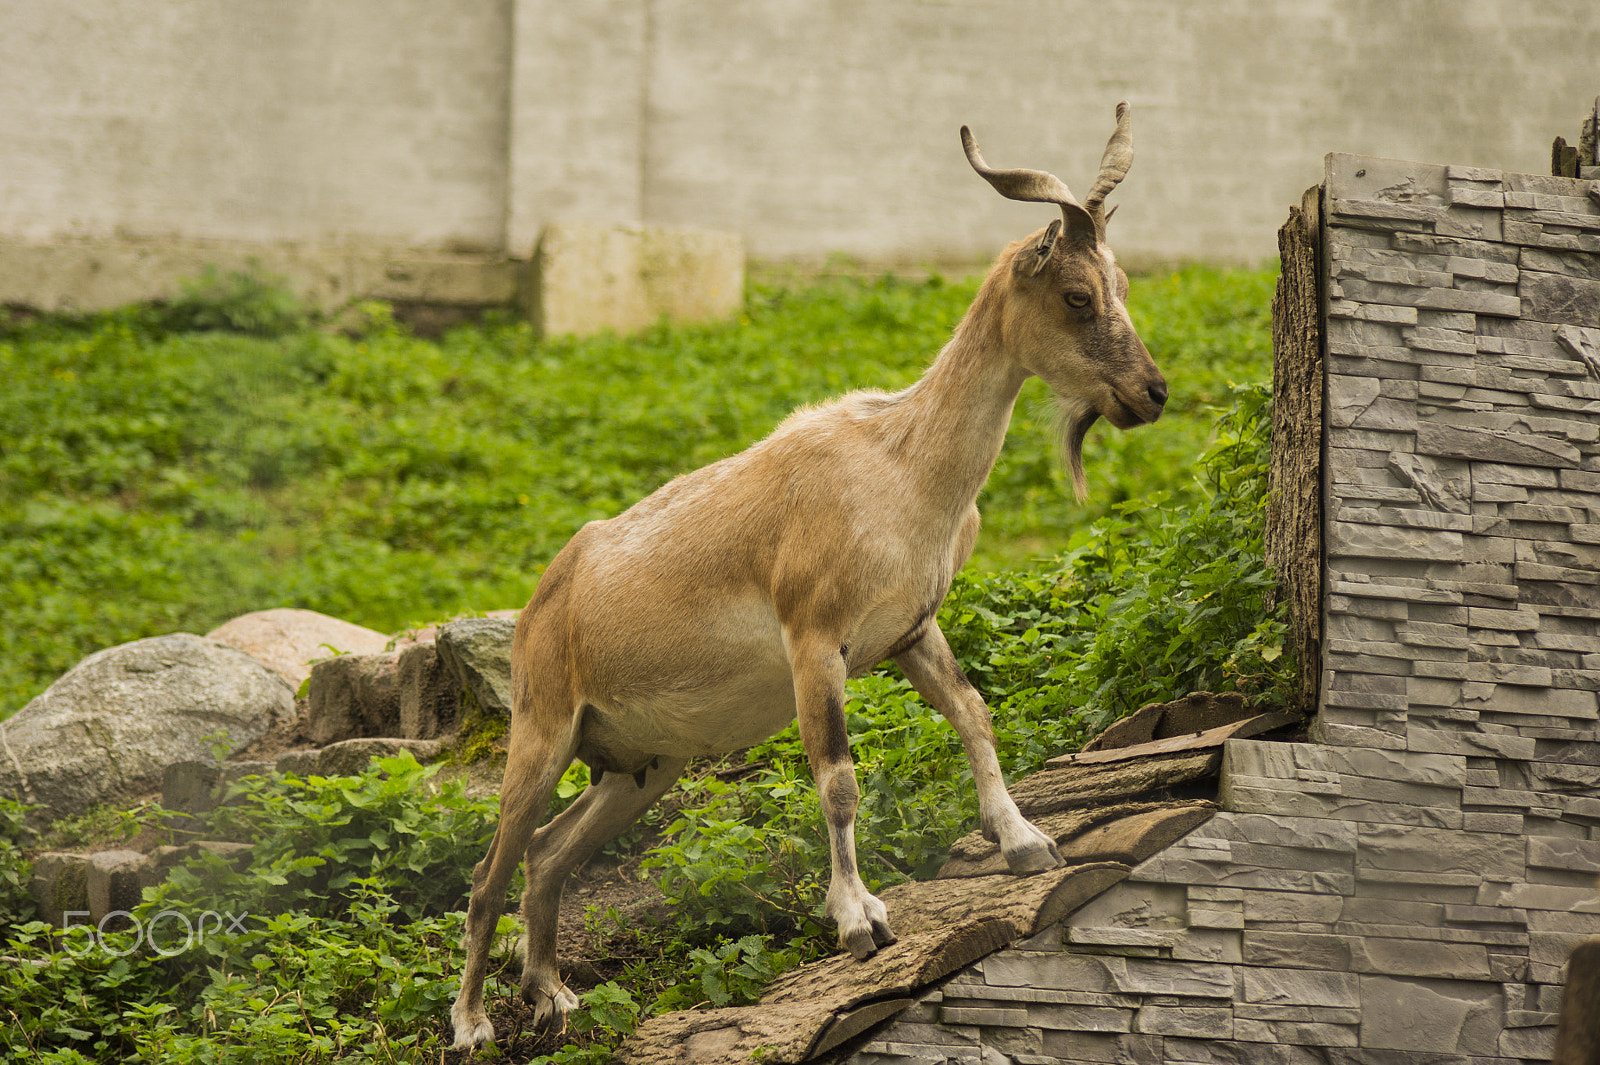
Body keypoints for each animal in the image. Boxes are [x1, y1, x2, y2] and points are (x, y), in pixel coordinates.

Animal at [451, 107, 1164, 1042]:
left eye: (1123, 282)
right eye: (1078, 295)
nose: (1151, 393)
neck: (902, 467)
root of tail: (547, 598)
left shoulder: (912, 629)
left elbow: (974, 714)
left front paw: (1025, 841)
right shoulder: (815, 641)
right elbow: (838, 778)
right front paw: (860, 919)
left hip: (642, 766)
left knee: (546, 852)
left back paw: (552, 991)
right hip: (542, 729)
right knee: (488, 872)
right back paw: (471, 1023)